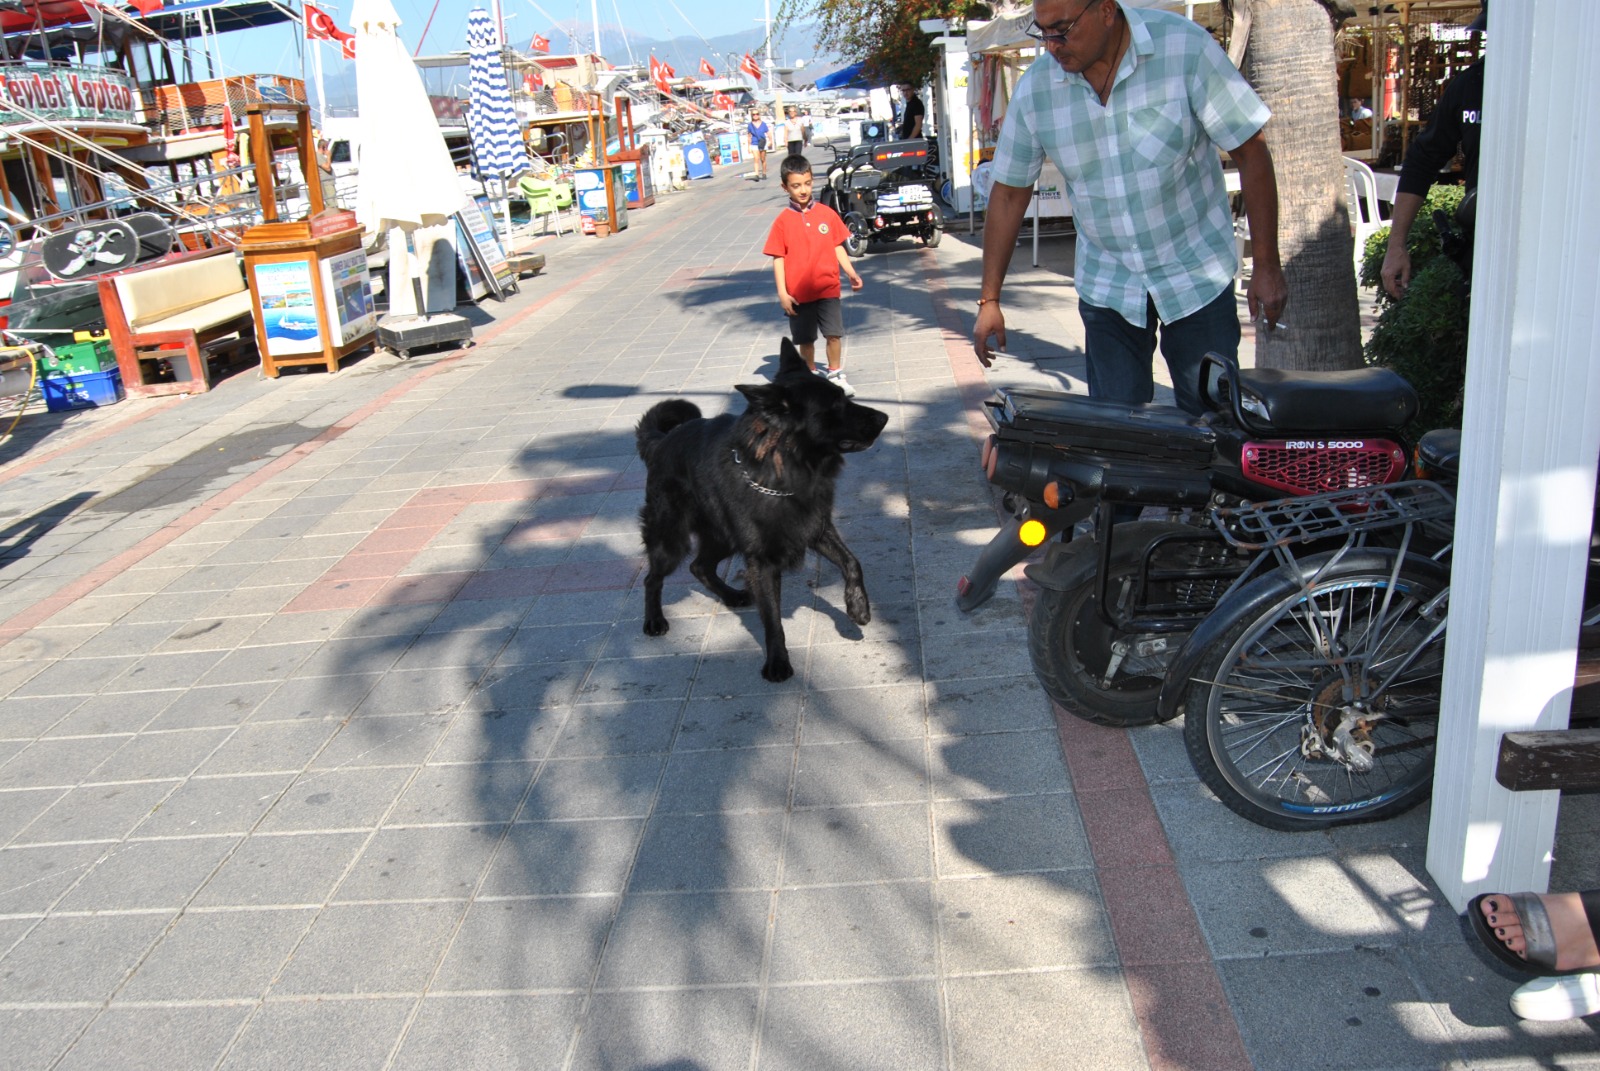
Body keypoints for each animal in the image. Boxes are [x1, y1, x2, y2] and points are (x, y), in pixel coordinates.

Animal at [633, 337, 889, 681]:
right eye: (835, 405)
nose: (884, 418)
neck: (781, 472)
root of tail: (662, 441)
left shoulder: (816, 527)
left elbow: (852, 562)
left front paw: (858, 607)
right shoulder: (763, 561)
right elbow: (772, 618)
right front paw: (778, 661)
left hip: (723, 537)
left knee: (699, 566)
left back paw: (731, 594)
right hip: (671, 539)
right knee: (653, 578)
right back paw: (654, 620)